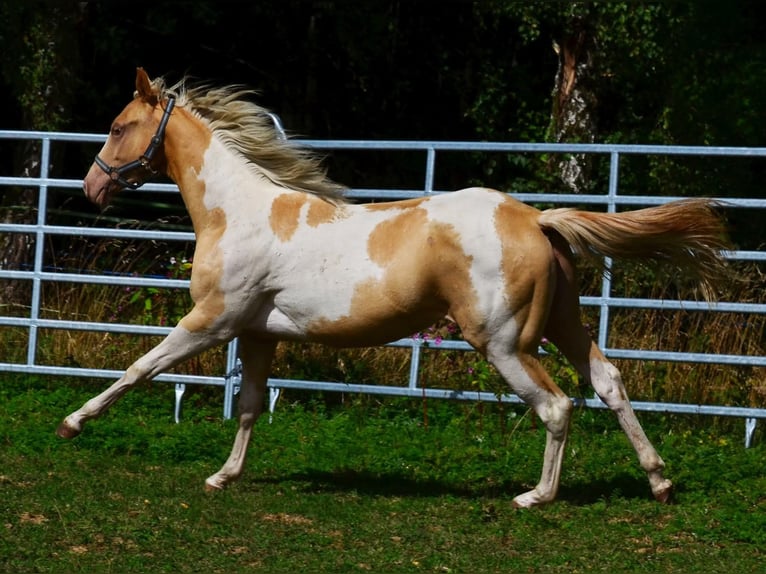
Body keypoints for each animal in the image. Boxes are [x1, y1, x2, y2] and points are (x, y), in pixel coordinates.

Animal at [59, 68, 729, 508]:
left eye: (118, 127)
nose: (91, 188)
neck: (238, 212)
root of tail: (534, 219)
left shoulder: (212, 321)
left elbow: (140, 367)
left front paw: (73, 424)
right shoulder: (256, 334)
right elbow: (248, 406)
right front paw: (224, 476)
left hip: (505, 343)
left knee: (557, 405)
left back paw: (535, 497)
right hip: (564, 325)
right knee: (608, 382)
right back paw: (659, 481)